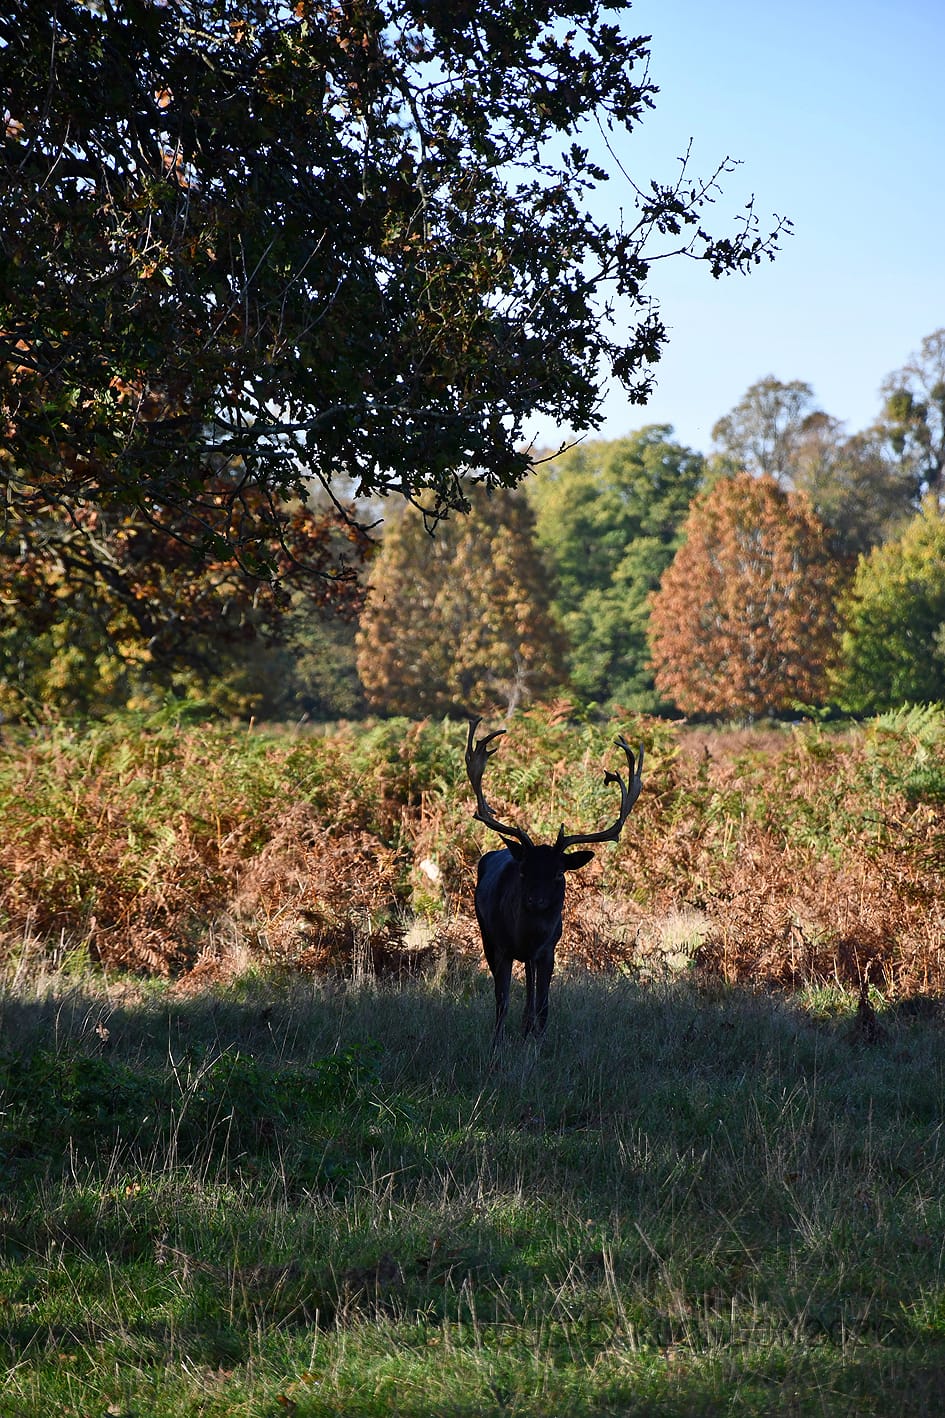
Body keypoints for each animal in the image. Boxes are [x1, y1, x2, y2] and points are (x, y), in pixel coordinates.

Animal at [464, 718, 643, 1045]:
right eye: (523, 870)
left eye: (559, 873)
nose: (535, 900)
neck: (528, 936)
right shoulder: (503, 946)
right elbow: (502, 999)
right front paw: (497, 1042)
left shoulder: (548, 949)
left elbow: (543, 1004)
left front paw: (536, 1039)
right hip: (487, 935)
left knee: (531, 989)